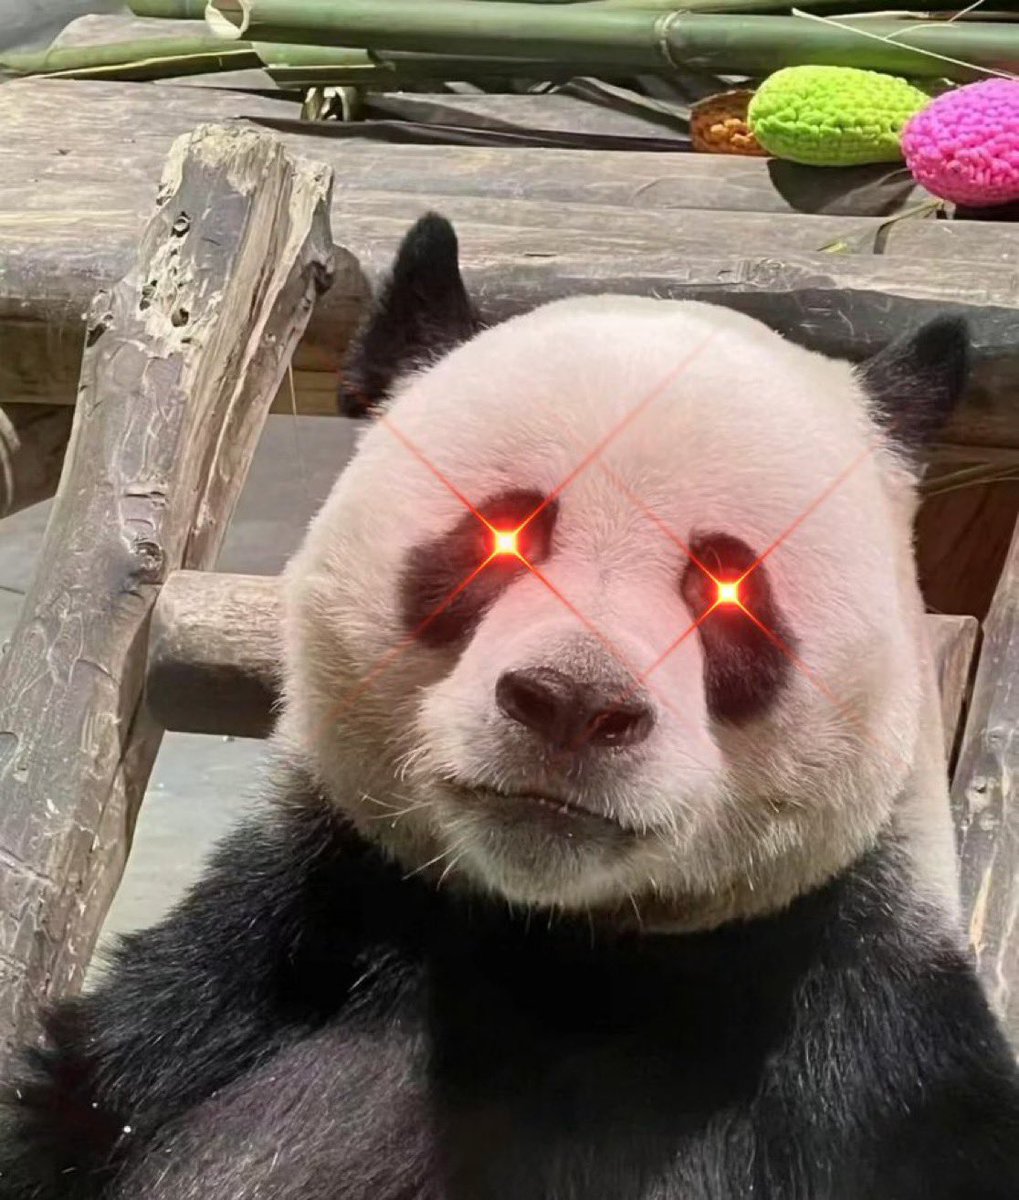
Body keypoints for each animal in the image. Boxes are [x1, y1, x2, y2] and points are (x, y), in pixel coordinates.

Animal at [2, 212, 1018, 1200]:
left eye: (729, 588)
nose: (573, 704)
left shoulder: (866, 1050)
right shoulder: (264, 959)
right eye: (501, 536)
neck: (561, 944)